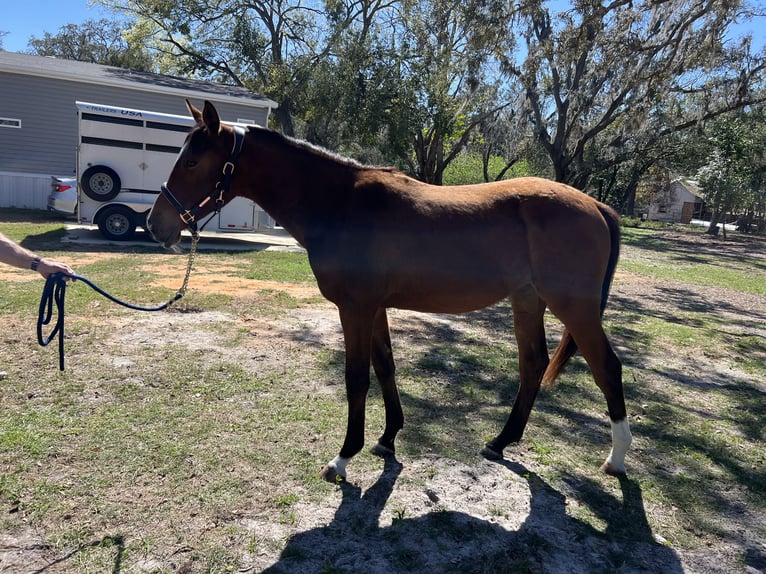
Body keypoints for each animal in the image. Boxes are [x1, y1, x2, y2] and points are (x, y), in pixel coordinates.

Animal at [147, 101, 632, 484]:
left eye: (192, 163)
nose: (156, 225)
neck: (340, 204)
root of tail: (596, 206)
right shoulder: (374, 307)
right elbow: (385, 367)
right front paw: (387, 437)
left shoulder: (355, 308)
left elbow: (356, 378)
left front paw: (344, 457)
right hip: (527, 301)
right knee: (532, 365)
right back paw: (500, 442)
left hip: (575, 308)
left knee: (607, 368)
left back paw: (616, 459)